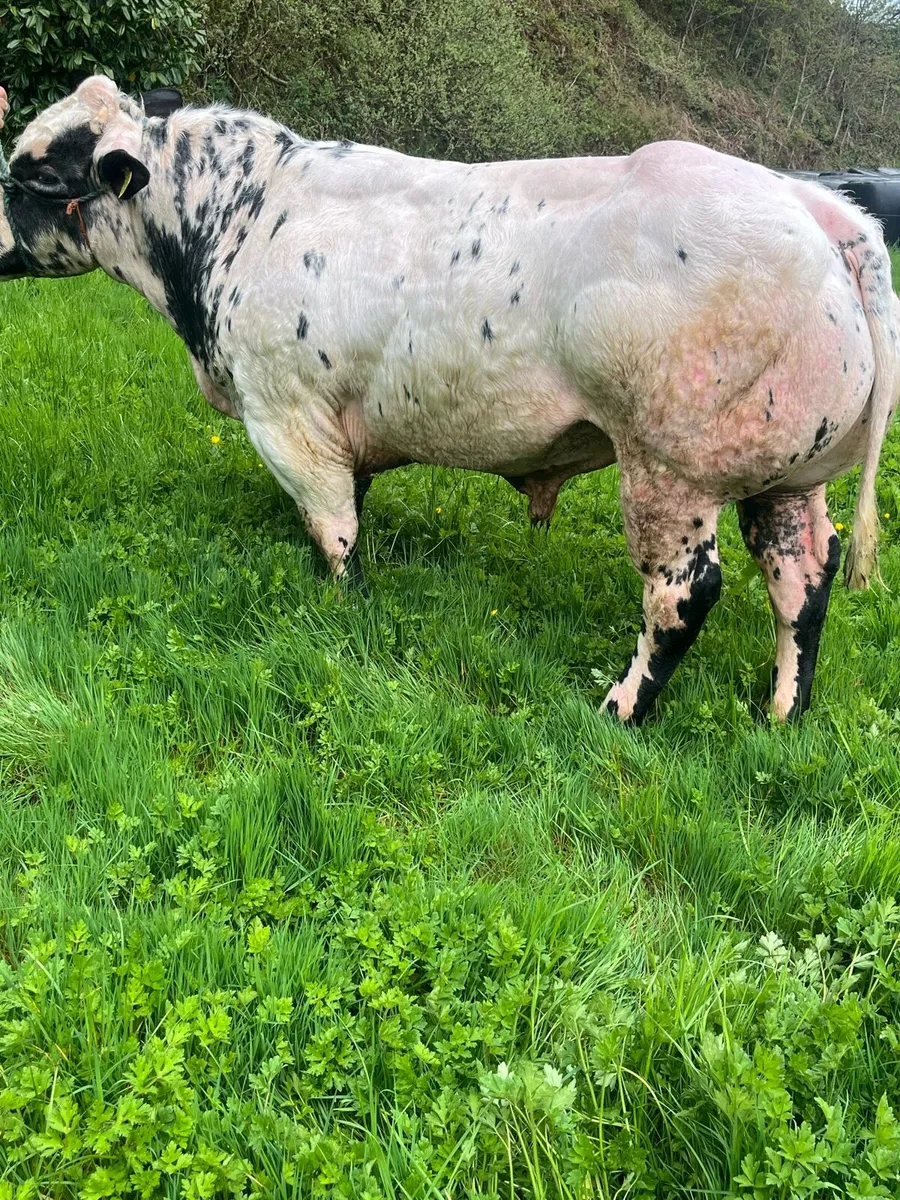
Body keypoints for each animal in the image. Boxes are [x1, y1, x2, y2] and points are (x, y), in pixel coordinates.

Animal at [0, 76, 897, 725]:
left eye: (36, 173)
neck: (238, 222)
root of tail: (818, 207)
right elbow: (348, 508)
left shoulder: (286, 415)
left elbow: (335, 530)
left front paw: (344, 610)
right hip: (786, 476)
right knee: (803, 577)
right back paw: (781, 712)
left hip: (672, 470)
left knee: (684, 595)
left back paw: (621, 708)